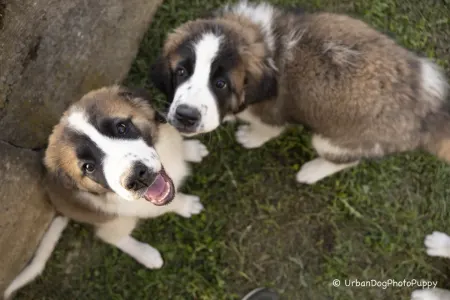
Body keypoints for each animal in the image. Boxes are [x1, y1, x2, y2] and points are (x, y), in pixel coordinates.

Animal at [3, 85, 209, 298]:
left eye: (122, 128)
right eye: (88, 167)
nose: (136, 178)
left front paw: (190, 150)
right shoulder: (140, 207)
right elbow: (170, 203)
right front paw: (187, 205)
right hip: (116, 220)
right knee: (112, 237)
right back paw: (147, 254)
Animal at [150, 0, 450, 184]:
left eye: (220, 84)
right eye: (181, 72)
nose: (186, 116)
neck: (264, 44)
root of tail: (428, 106)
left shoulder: (271, 115)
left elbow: (267, 130)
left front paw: (250, 136)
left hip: (336, 140)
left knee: (346, 160)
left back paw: (312, 171)